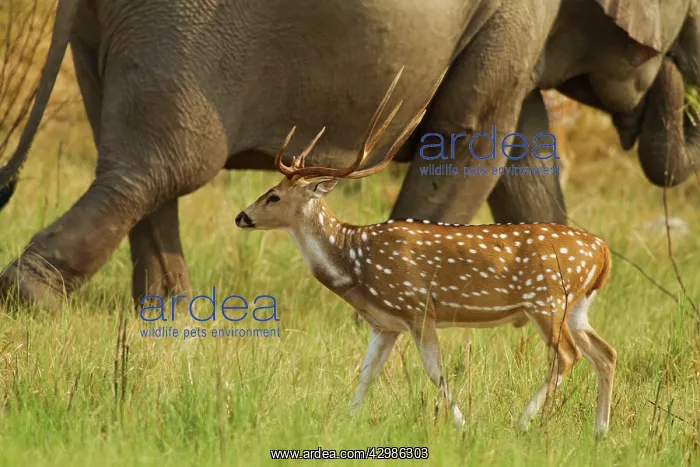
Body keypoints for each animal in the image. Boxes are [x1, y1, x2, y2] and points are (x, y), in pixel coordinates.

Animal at [0, 0, 696, 308]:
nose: (677, 94)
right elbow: (470, 135)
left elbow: (522, 153)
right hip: (174, 34)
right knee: (163, 165)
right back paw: (30, 298)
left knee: (138, 163)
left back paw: (173, 319)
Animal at [235, 69, 617, 438]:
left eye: (273, 196)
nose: (242, 216)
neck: (356, 266)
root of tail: (603, 253)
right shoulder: (384, 325)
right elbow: (365, 374)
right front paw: (345, 422)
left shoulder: (418, 308)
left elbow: (435, 372)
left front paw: (463, 425)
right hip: (576, 307)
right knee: (606, 353)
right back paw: (600, 431)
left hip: (546, 301)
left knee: (567, 355)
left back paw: (523, 422)